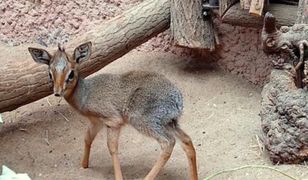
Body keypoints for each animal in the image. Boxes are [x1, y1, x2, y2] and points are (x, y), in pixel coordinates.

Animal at [28, 42, 197, 180]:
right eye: (50, 73)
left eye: (71, 73)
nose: (57, 92)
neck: (85, 94)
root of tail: (177, 100)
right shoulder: (96, 122)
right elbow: (87, 138)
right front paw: (84, 165)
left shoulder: (113, 121)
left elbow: (112, 148)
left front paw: (118, 177)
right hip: (169, 123)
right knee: (187, 141)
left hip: (145, 122)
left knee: (168, 143)